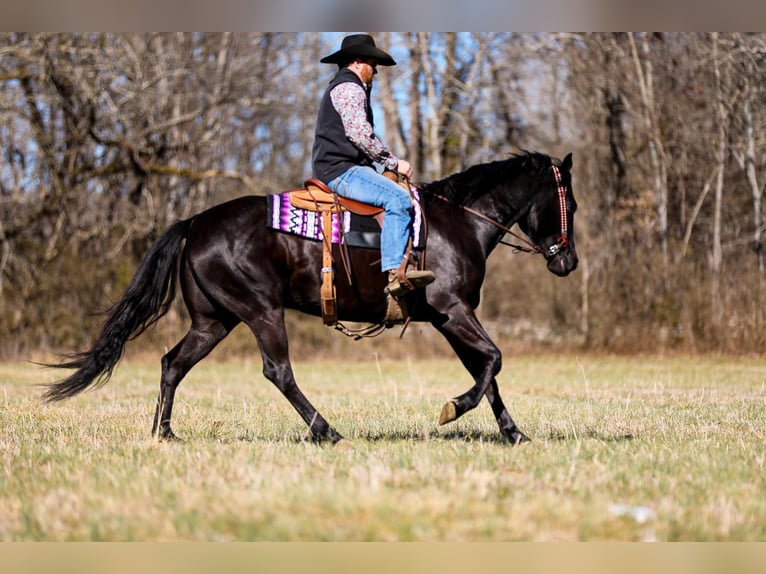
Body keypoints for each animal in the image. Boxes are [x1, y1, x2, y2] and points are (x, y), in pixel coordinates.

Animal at [45, 152, 580, 446]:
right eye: (569, 204)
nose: (568, 262)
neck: (458, 222)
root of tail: (195, 222)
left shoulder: (449, 318)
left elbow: (485, 369)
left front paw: (513, 433)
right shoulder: (453, 311)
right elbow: (493, 360)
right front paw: (453, 408)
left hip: (214, 321)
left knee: (172, 363)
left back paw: (165, 432)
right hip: (261, 312)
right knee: (278, 371)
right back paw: (327, 431)